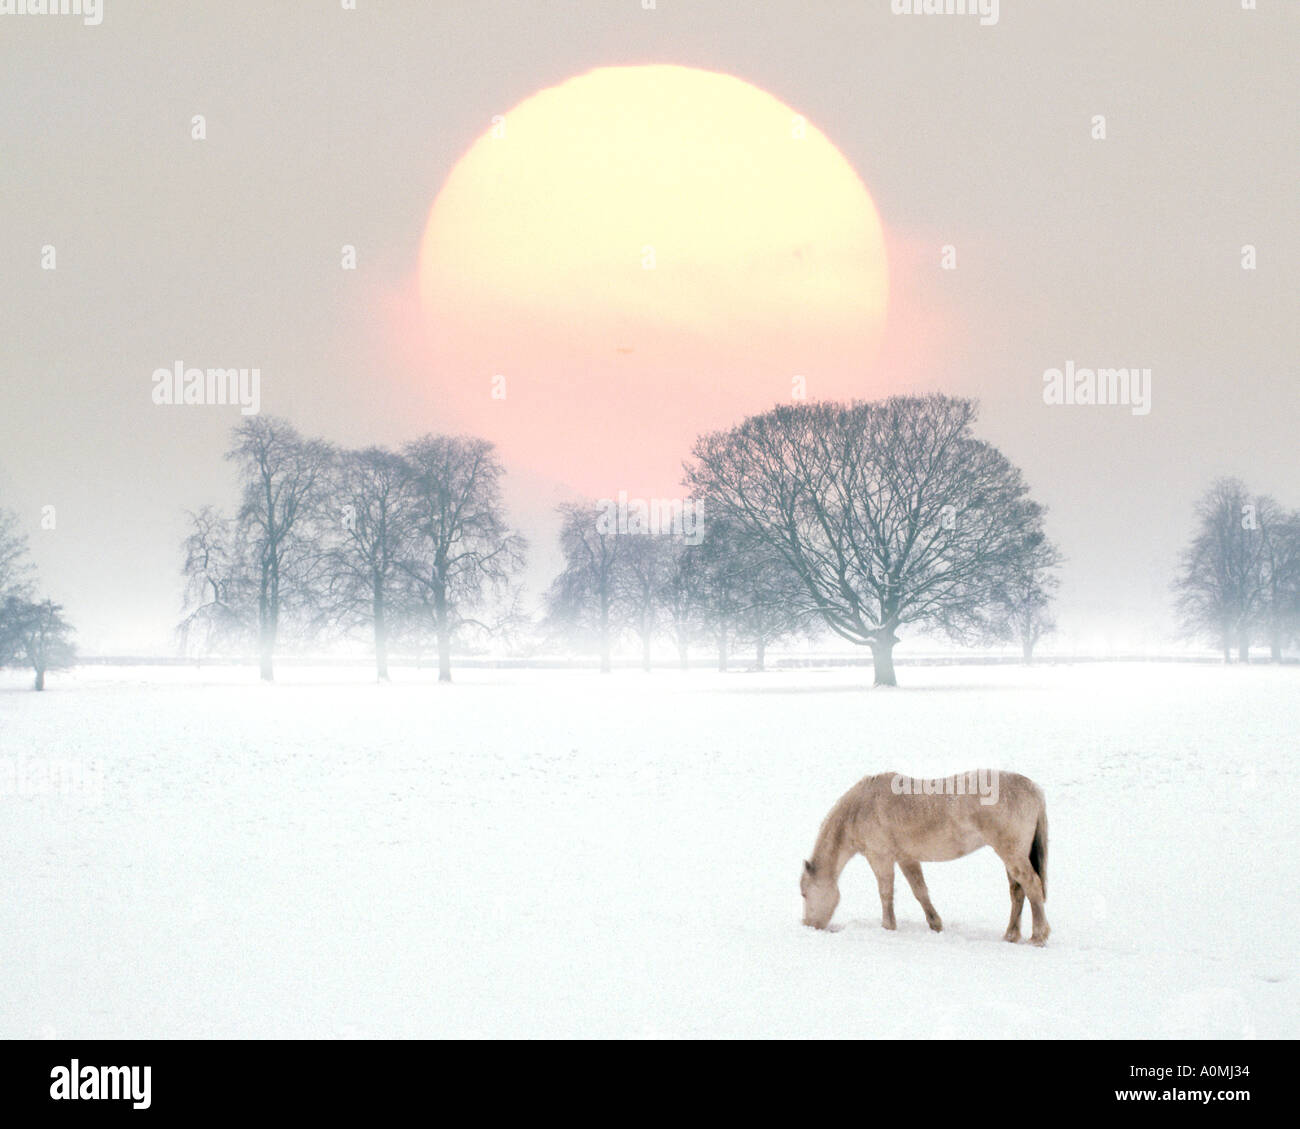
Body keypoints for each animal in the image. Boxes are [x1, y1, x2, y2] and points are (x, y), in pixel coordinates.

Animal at [800, 770, 1049, 944]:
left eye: (804, 893)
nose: (808, 925)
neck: (860, 809)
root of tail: (1033, 789)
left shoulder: (880, 857)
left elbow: (885, 893)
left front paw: (888, 927)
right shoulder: (906, 859)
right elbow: (920, 891)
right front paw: (935, 925)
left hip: (1012, 853)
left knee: (1032, 886)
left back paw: (1038, 937)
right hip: (1012, 856)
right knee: (1017, 891)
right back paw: (1010, 936)